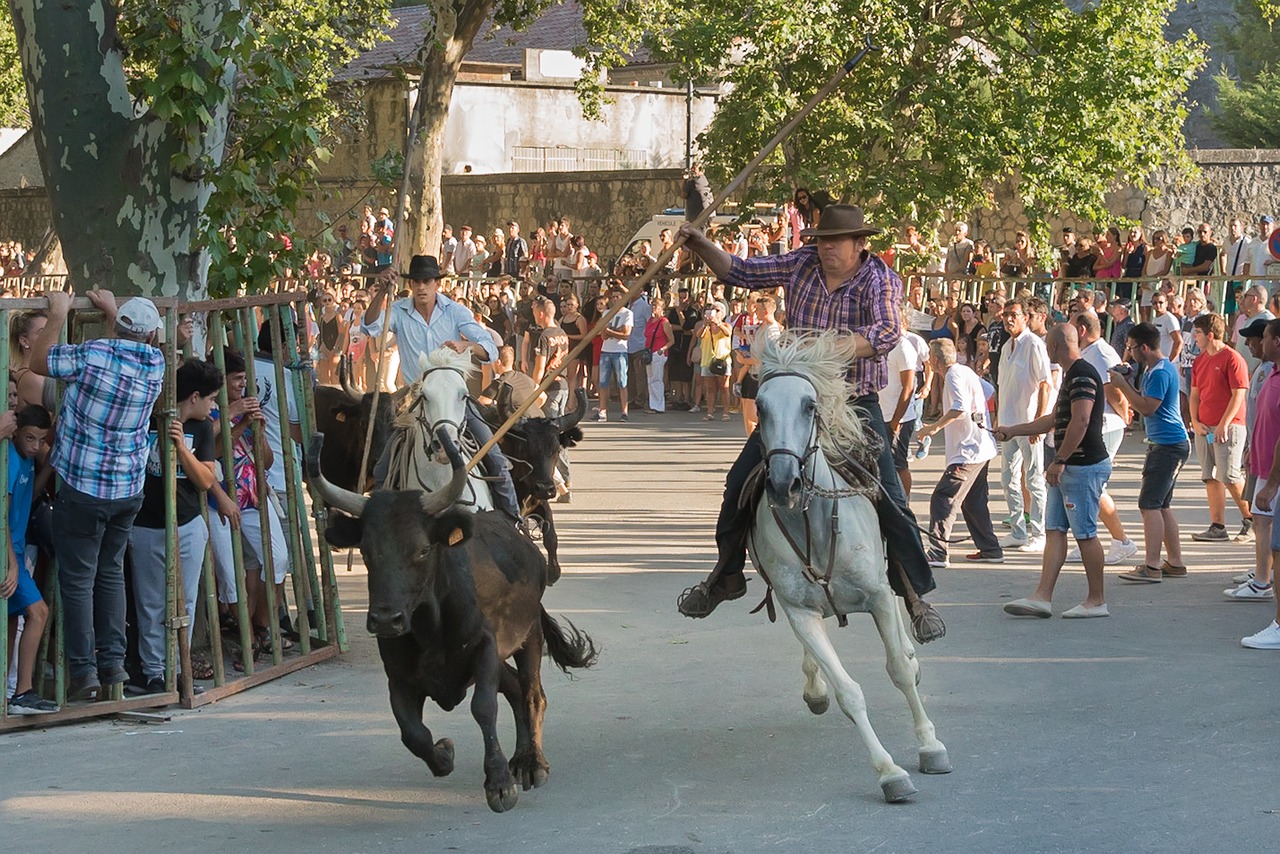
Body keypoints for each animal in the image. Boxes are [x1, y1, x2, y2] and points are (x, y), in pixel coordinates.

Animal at [307, 430, 596, 814]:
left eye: (423, 549)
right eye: (367, 551)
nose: (385, 620)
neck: (431, 628)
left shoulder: (486, 650)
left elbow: (484, 708)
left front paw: (499, 783)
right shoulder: (399, 677)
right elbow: (412, 733)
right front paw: (444, 753)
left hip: (529, 635)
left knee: (532, 693)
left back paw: (533, 763)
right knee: (515, 689)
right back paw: (520, 758)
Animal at [747, 330, 947, 804]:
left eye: (809, 405)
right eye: (760, 407)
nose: (783, 484)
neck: (814, 524)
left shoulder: (876, 595)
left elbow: (899, 672)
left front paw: (930, 746)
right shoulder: (799, 612)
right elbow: (848, 692)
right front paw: (890, 772)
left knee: (901, 613)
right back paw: (814, 688)